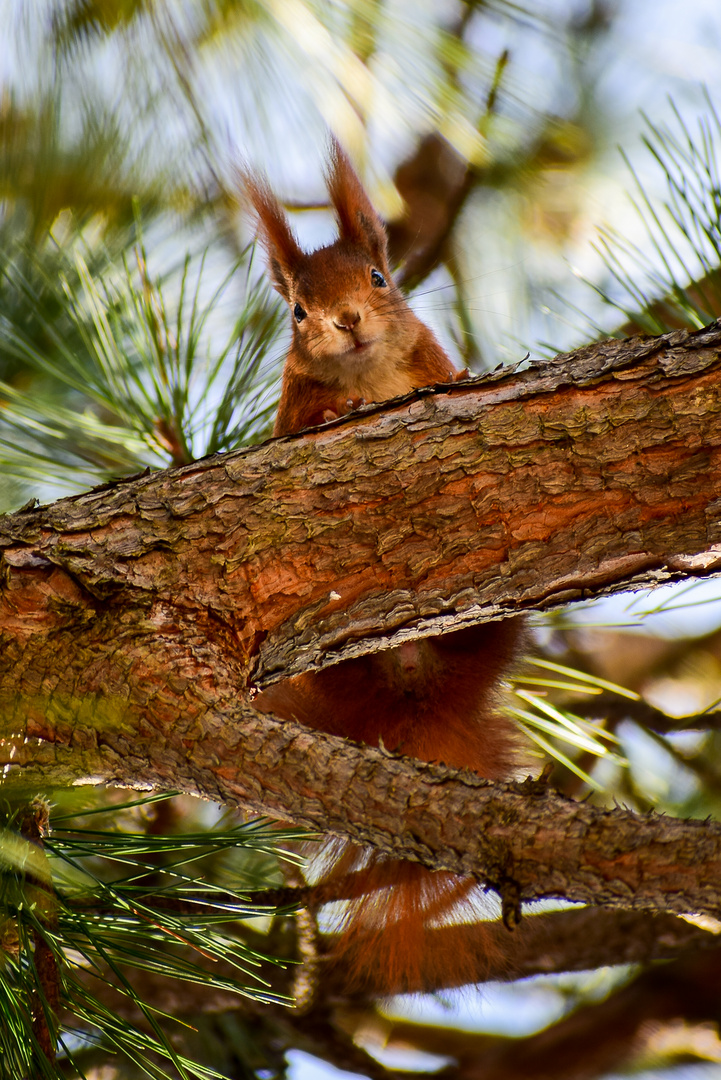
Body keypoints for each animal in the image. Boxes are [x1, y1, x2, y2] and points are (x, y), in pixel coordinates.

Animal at [246, 141, 524, 993]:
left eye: (377, 277)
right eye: (297, 312)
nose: (346, 323)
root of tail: (415, 695)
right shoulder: (290, 409)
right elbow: (305, 418)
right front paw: (334, 413)